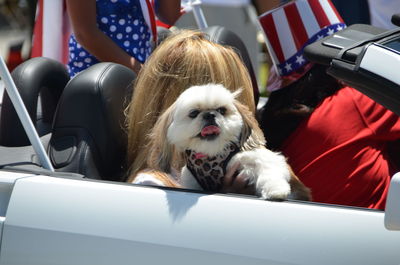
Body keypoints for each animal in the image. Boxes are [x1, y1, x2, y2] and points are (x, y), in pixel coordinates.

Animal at [139, 83, 310, 199]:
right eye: (193, 113)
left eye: (222, 110)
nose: (209, 115)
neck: (212, 154)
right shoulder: (192, 181)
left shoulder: (260, 158)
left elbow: (269, 172)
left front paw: (275, 190)